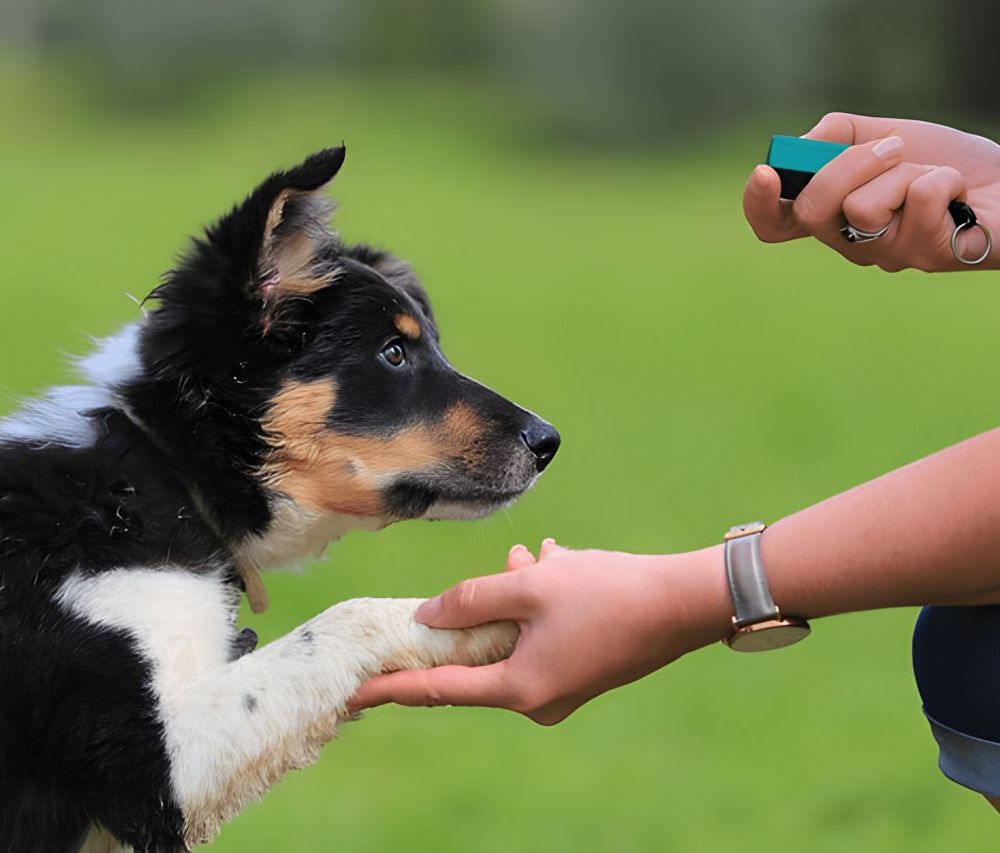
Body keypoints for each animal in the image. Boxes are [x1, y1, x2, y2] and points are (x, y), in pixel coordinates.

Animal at [0, 150, 560, 848]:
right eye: (393, 353)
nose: (549, 441)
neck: (160, 470)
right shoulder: (154, 769)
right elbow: (349, 617)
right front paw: (497, 613)